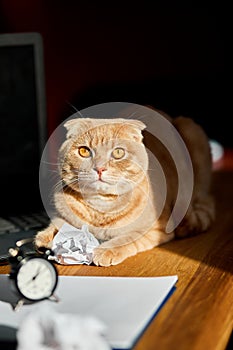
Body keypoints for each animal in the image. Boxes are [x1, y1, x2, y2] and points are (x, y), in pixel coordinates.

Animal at [34, 110, 215, 266]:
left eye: (118, 153)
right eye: (84, 151)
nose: (100, 168)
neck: (101, 207)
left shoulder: (157, 228)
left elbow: (126, 238)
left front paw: (105, 250)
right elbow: (58, 223)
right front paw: (46, 237)